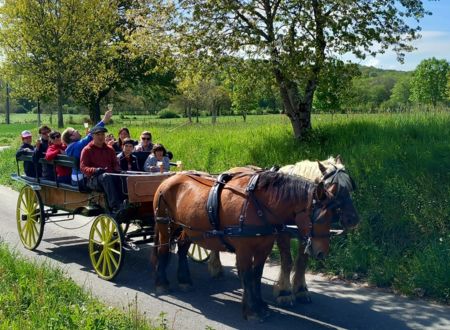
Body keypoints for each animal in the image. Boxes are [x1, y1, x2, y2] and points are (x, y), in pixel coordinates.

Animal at [153, 168, 340, 320]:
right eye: (320, 217)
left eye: (333, 216)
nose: (322, 253)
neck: (258, 205)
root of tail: (170, 179)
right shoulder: (244, 250)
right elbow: (248, 275)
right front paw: (251, 310)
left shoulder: (263, 248)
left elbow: (256, 275)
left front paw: (261, 305)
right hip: (165, 223)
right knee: (163, 249)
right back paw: (162, 283)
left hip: (189, 228)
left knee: (183, 247)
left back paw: (184, 280)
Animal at [208, 156, 362, 306]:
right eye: (335, 189)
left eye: (349, 187)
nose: (353, 219)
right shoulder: (282, 234)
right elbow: (287, 261)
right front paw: (284, 293)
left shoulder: (305, 233)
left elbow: (302, 261)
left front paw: (301, 290)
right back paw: (216, 267)